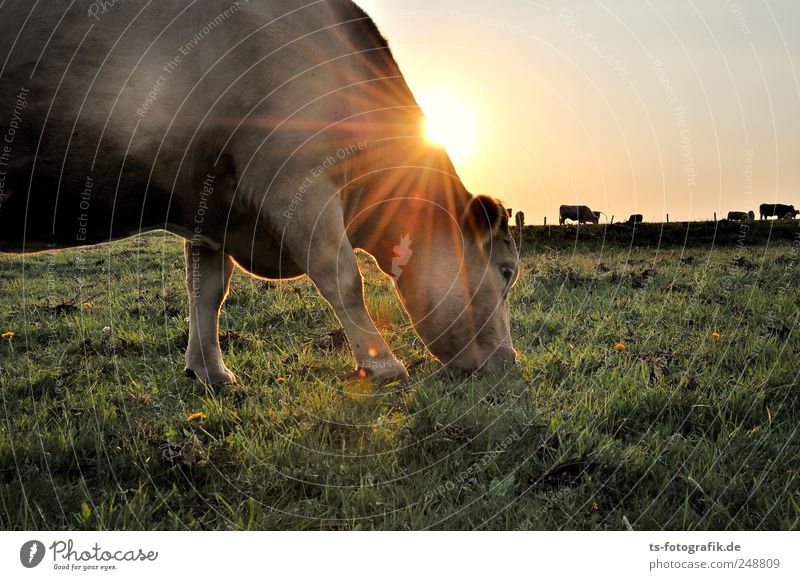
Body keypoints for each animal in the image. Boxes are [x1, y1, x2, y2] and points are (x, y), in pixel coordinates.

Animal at [0, 0, 520, 386]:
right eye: (507, 271)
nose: (508, 361)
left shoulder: (210, 208)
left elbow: (207, 289)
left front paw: (210, 372)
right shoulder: (293, 179)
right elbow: (343, 277)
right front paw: (382, 364)